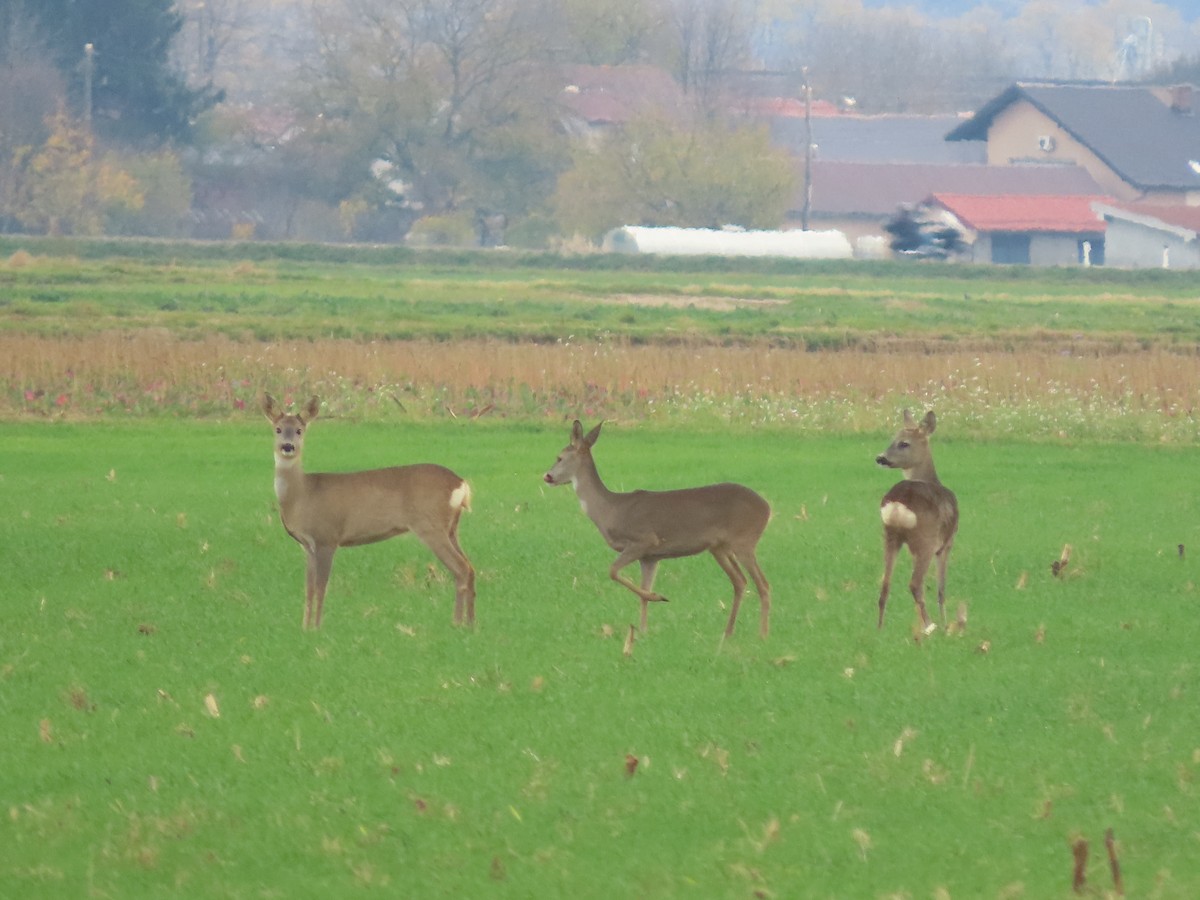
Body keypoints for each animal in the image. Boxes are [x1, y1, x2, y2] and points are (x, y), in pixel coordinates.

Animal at [262, 393, 475, 630]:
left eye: (300, 430)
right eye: (278, 429)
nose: (288, 446)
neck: (302, 494)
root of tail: (461, 484)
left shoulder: (328, 536)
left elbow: (321, 586)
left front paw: (317, 628)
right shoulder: (308, 546)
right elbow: (308, 588)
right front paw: (305, 628)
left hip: (431, 525)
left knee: (461, 568)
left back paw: (457, 623)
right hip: (451, 527)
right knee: (470, 568)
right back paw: (470, 624)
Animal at [543, 420, 771, 639]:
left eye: (559, 457)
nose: (547, 476)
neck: (610, 510)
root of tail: (767, 508)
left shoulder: (643, 540)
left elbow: (613, 571)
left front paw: (657, 598)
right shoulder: (651, 557)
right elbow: (643, 589)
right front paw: (643, 629)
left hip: (744, 540)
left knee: (763, 584)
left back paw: (762, 634)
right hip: (720, 547)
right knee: (740, 581)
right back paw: (729, 632)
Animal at [875, 409, 959, 633]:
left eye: (903, 443)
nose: (881, 458)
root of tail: (898, 503)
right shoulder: (947, 543)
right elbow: (941, 588)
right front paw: (945, 623)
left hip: (890, 535)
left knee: (885, 583)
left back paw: (880, 628)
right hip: (925, 539)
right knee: (915, 583)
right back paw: (931, 626)